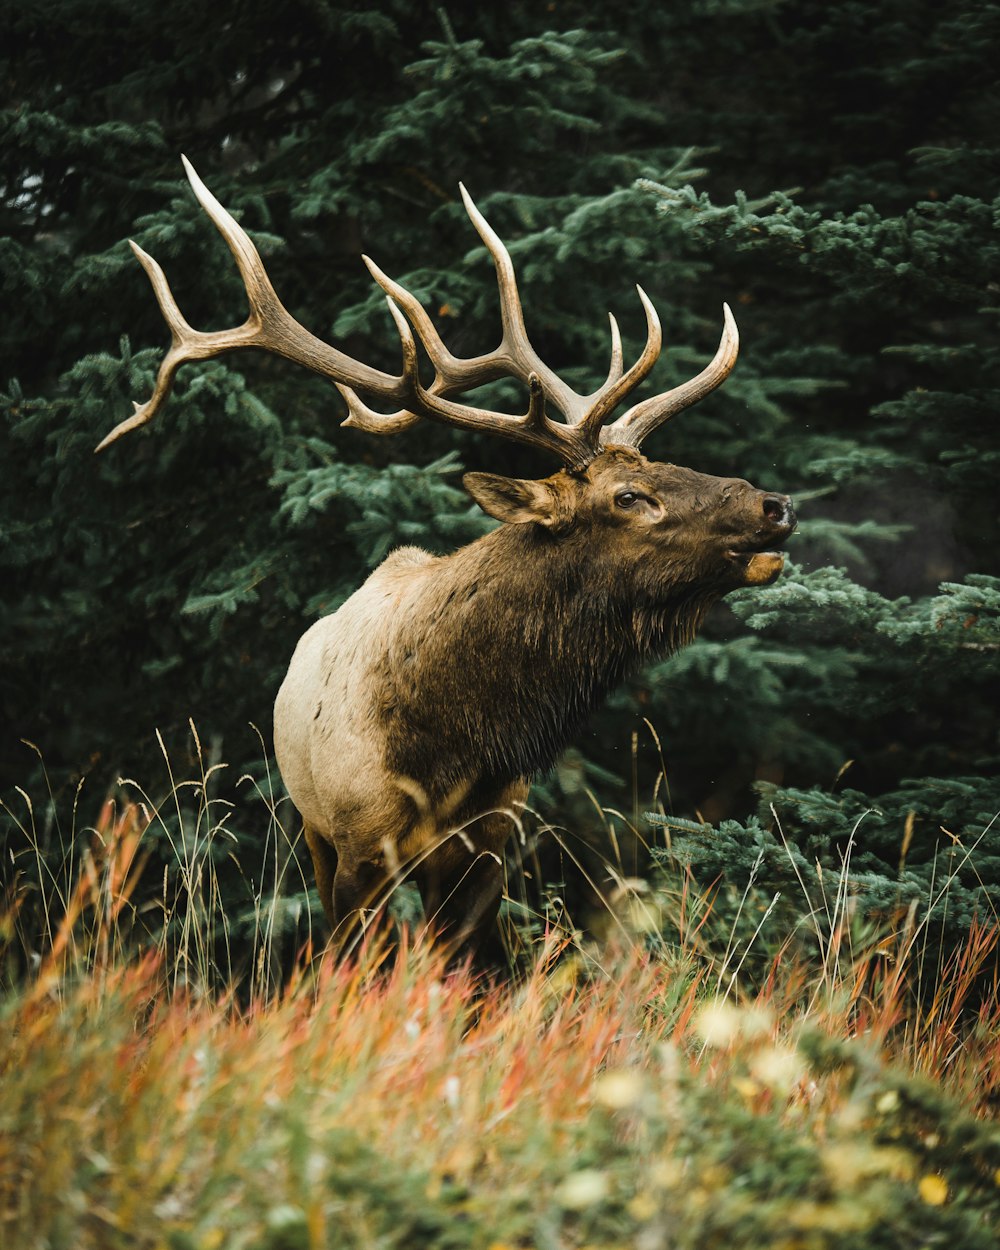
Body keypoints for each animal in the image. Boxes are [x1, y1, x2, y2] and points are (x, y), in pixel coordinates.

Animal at [95, 156, 795, 955]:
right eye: (628, 495)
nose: (774, 505)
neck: (453, 746)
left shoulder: (490, 844)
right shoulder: (358, 843)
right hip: (309, 826)